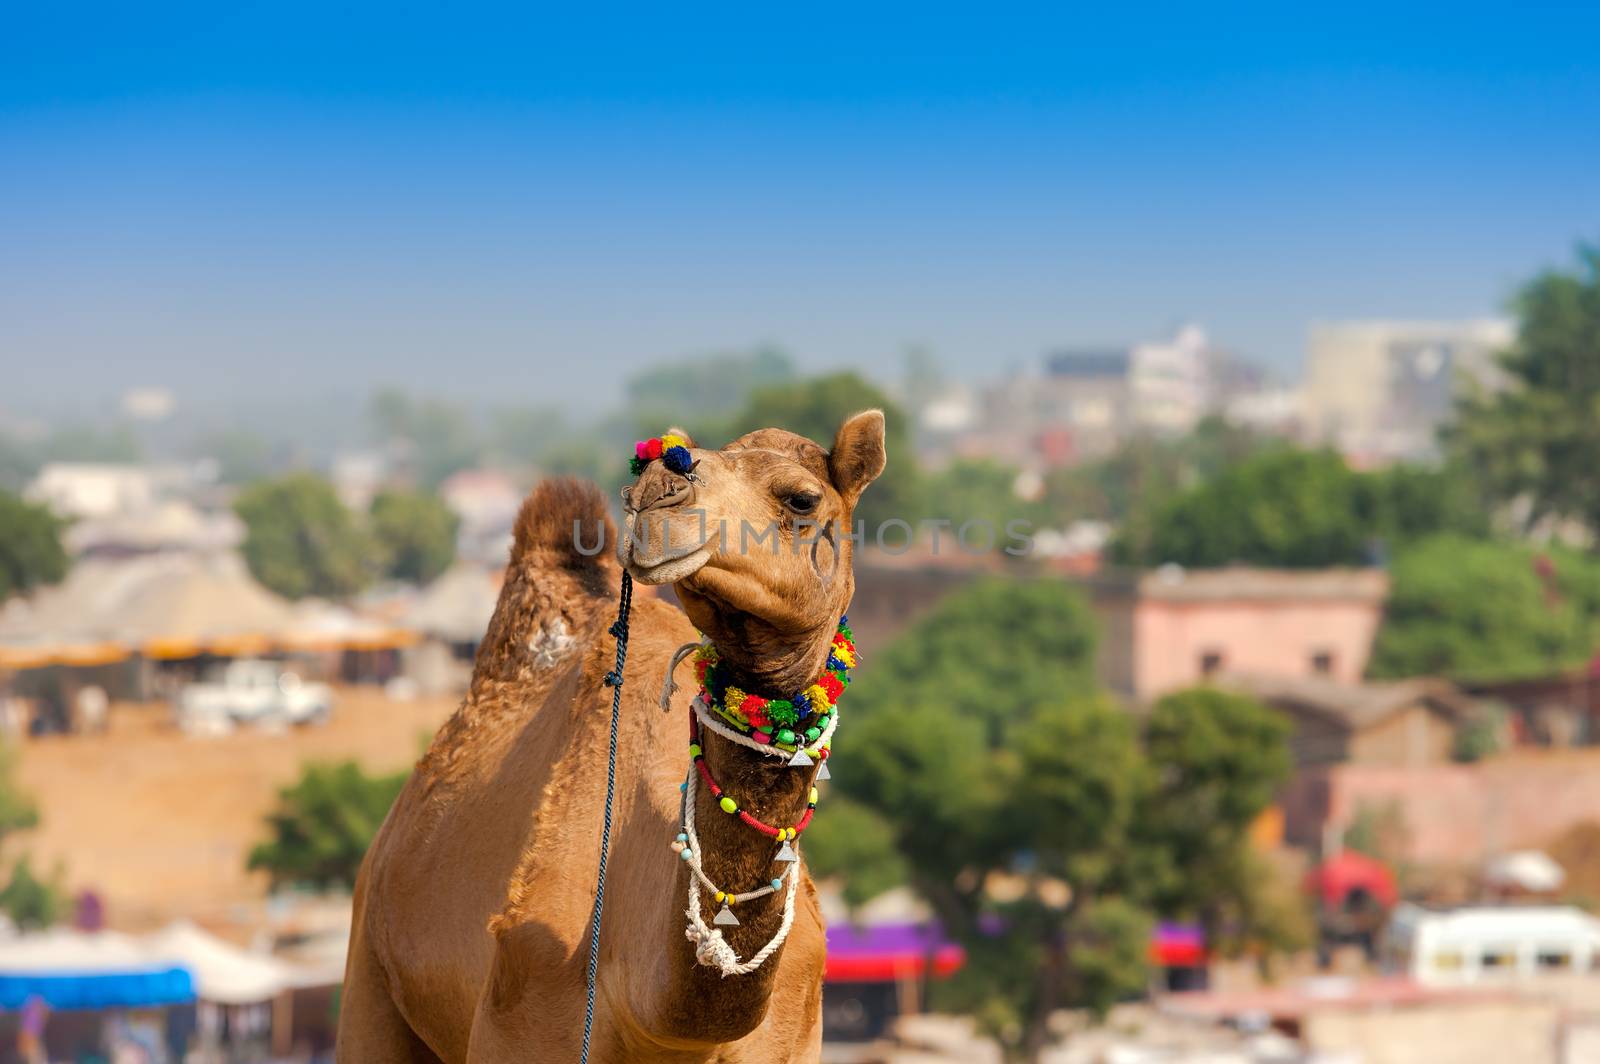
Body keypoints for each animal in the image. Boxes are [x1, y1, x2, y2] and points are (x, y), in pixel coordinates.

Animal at [337, 412, 889, 1062]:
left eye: (802, 499)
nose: (656, 494)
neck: (665, 1024)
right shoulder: (520, 1011)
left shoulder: (793, 1034)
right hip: (368, 969)